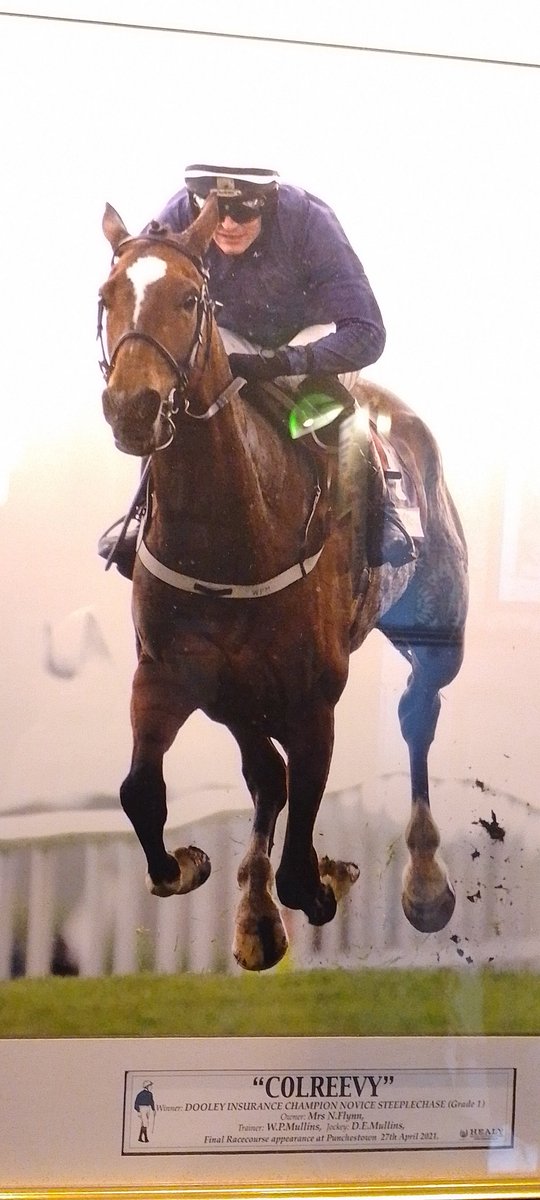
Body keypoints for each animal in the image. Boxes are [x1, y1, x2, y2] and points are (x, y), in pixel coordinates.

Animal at [98, 194, 468, 972]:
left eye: (190, 298)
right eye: (107, 296)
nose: (132, 408)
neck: (227, 532)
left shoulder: (313, 693)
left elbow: (302, 851)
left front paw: (326, 878)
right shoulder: (170, 671)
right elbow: (142, 789)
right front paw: (192, 869)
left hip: (437, 633)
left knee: (417, 715)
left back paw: (424, 884)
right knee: (266, 770)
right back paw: (256, 912)